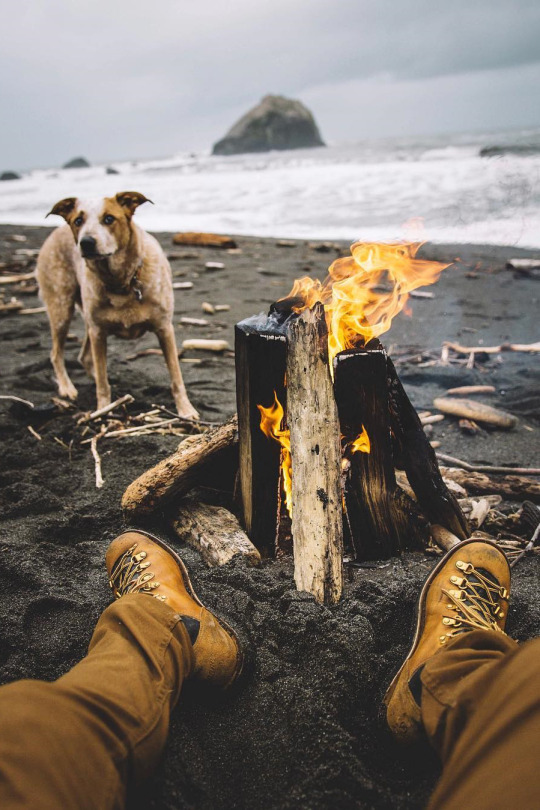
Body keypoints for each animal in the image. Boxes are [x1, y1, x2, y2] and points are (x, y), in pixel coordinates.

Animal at [37, 189, 199, 416]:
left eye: (109, 219)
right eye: (78, 221)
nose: (86, 242)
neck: (121, 282)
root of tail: (53, 233)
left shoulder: (164, 328)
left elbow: (176, 377)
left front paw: (186, 410)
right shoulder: (98, 332)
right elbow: (102, 384)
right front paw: (103, 410)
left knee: (85, 357)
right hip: (61, 307)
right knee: (56, 354)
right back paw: (68, 388)